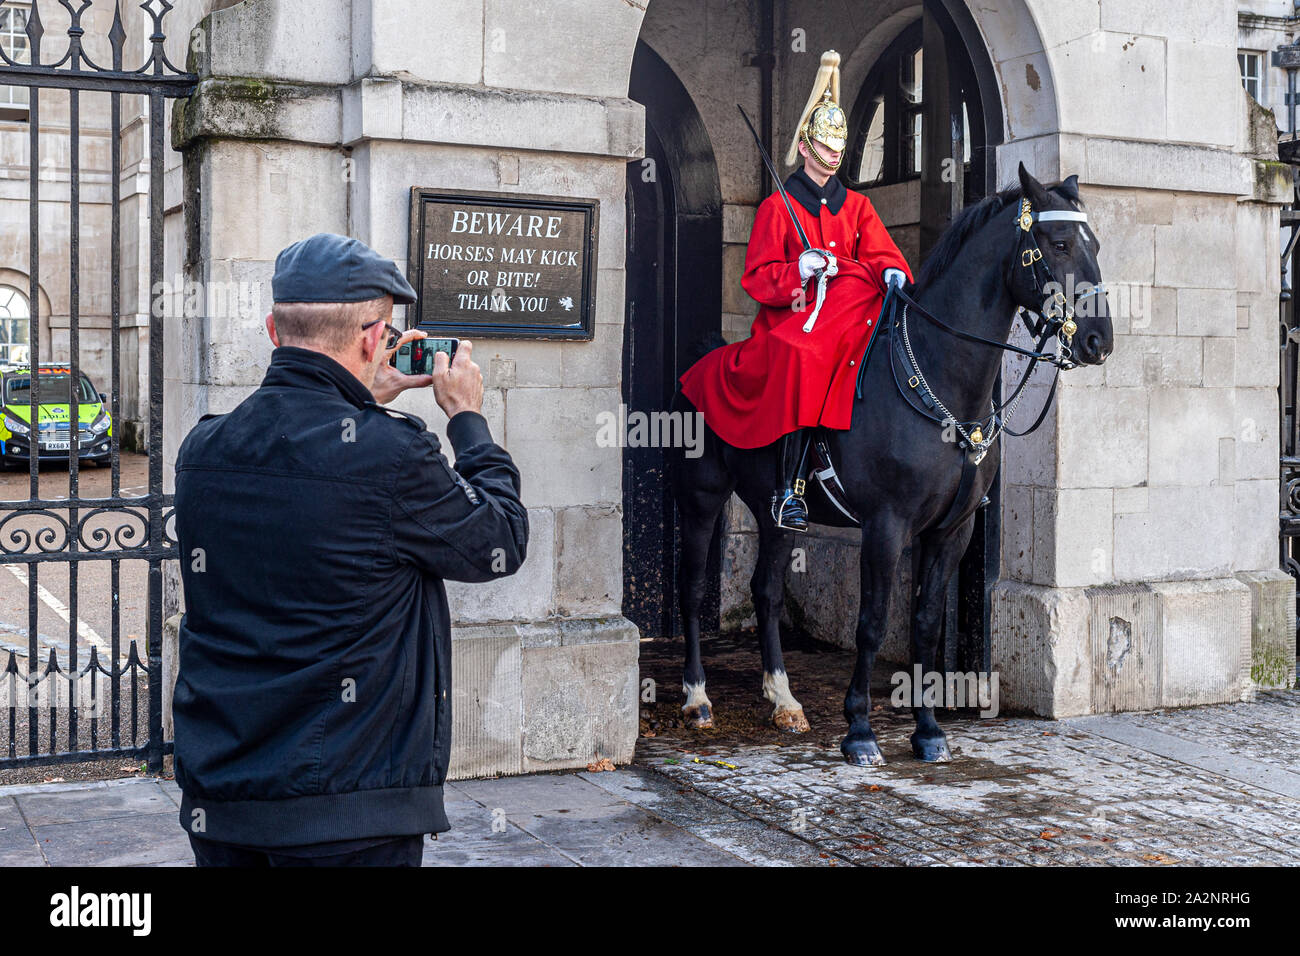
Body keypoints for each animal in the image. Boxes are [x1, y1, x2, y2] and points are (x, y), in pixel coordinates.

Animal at [665, 162, 1112, 764]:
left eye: (1094, 245)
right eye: (1059, 243)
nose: (1098, 340)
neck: (941, 381)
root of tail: (701, 360)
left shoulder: (953, 530)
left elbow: (923, 623)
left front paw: (928, 729)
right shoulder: (886, 525)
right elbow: (873, 624)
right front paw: (859, 729)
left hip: (772, 512)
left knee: (767, 590)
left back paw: (784, 700)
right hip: (701, 499)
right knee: (692, 589)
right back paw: (697, 698)